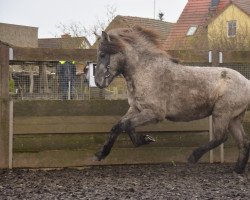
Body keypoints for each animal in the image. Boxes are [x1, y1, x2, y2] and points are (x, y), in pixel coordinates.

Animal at [94, 26, 250, 173]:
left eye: (102, 54)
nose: (98, 82)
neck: (146, 71)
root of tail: (246, 82)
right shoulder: (136, 108)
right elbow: (120, 126)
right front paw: (101, 154)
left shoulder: (155, 113)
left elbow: (125, 125)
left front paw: (144, 139)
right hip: (234, 118)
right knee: (243, 142)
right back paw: (237, 170)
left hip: (222, 113)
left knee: (221, 137)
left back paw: (193, 157)